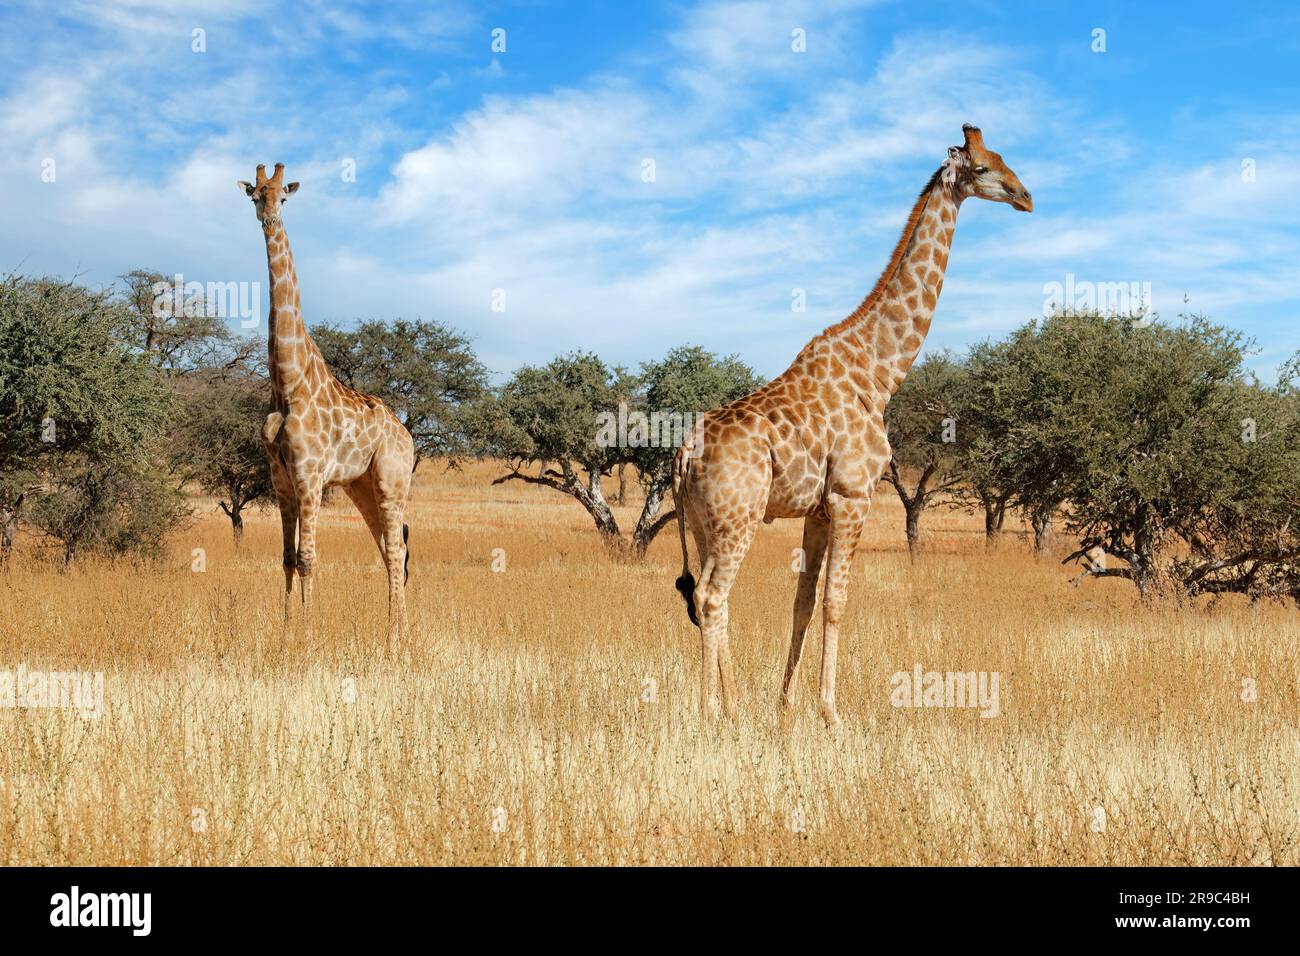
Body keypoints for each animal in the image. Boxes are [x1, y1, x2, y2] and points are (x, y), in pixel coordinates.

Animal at [237, 163, 416, 649]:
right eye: (256, 195)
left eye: (284, 196)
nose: (269, 219)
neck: (287, 382)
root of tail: (408, 435)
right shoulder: (281, 478)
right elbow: (285, 557)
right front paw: (284, 637)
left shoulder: (310, 476)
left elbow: (308, 558)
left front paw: (308, 639)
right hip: (361, 485)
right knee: (390, 549)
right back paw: (389, 635)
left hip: (392, 482)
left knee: (397, 549)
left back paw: (396, 641)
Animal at [672, 125, 1032, 727]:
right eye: (983, 167)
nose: (1026, 197)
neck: (880, 370)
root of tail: (682, 456)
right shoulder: (852, 495)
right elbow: (836, 602)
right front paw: (830, 713)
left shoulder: (818, 509)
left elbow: (803, 601)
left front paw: (785, 705)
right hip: (738, 517)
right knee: (711, 597)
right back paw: (717, 712)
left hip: (704, 524)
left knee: (704, 595)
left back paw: (729, 704)